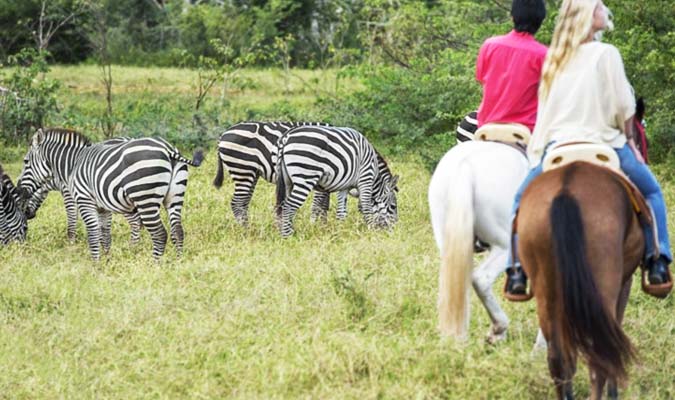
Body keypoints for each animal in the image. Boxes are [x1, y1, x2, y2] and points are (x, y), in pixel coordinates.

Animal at [15, 128, 201, 260]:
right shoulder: (102, 207)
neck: (70, 166)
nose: (18, 189)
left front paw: (90, 258)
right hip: (174, 198)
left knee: (159, 233)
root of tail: (168, 149)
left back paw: (154, 264)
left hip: (144, 198)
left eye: (25, 161)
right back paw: (177, 261)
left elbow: (87, 229)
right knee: (177, 231)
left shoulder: (81, 198)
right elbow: (104, 234)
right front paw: (106, 259)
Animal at [215, 120, 356, 227]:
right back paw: (246, 230)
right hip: (243, 170)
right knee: (237, 202)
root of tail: (223, 135)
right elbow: (319, 205)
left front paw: (322, 225)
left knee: (244, 202)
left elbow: (324, 205)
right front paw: (317, 226)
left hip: (251, 172)